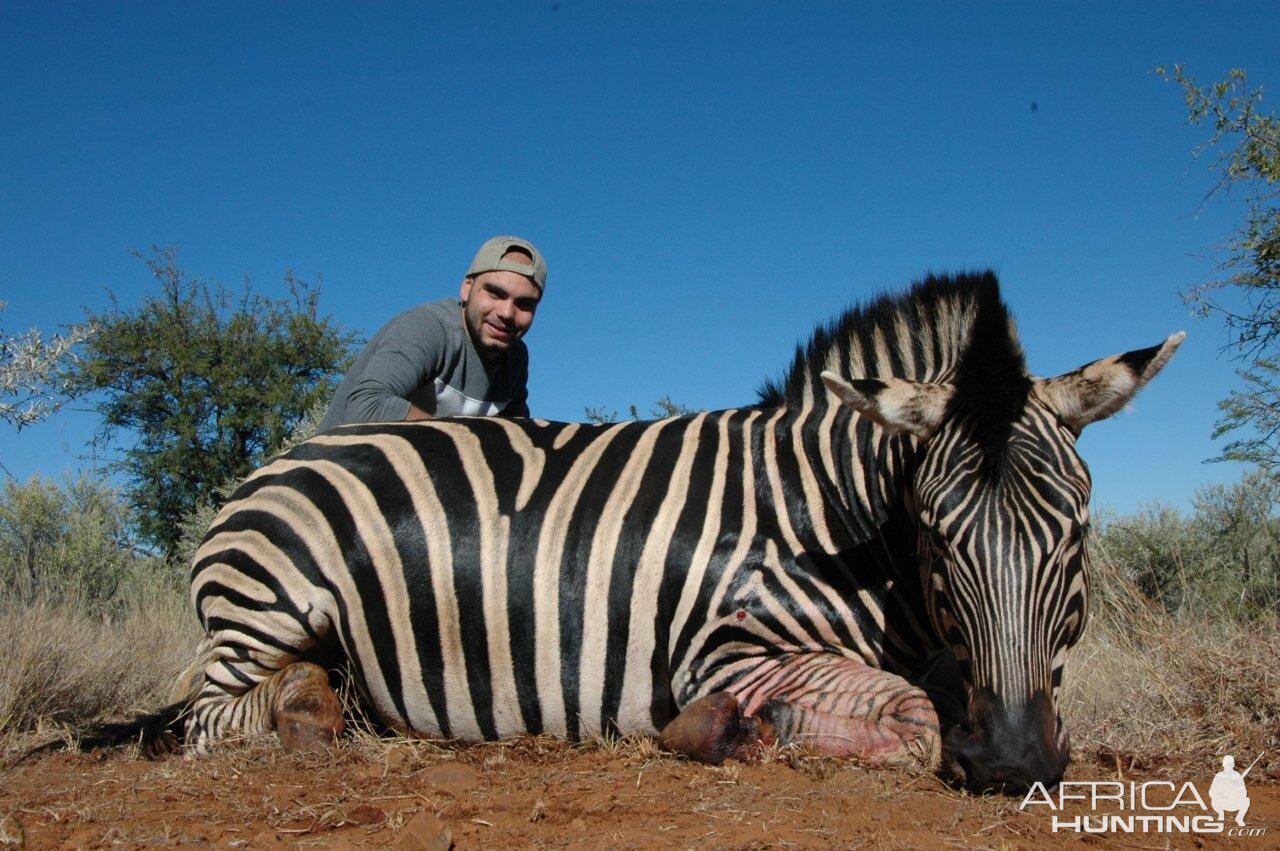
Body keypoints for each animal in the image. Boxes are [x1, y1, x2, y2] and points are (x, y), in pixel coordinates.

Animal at [77, 270, 1177, 788]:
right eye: (937, 539)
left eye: (1075, 535)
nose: (1012, 762)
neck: (841, 516)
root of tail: (265, 469)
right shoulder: (726, 645)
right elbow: (908, 717)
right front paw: (732, 731)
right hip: (266, 609)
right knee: (212, 718)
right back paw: (303, 712)